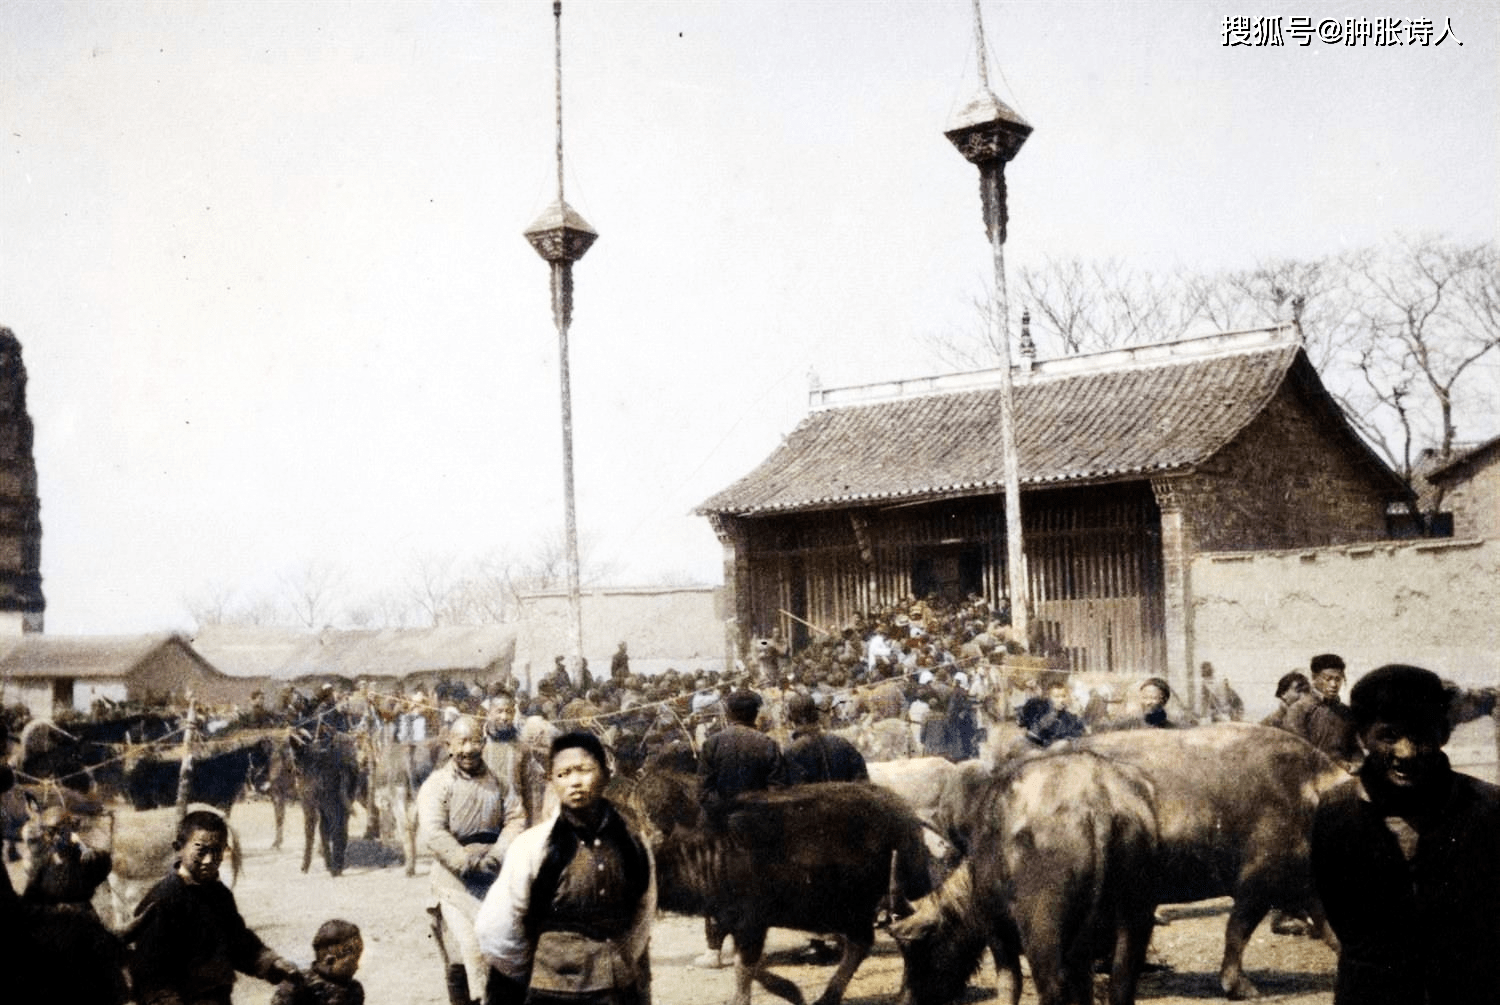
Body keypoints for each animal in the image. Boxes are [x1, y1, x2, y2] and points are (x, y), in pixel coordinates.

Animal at [627, 780, 930, 1005]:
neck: (709, 854)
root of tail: (908, 819)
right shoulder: (733, 921)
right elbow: (749, 966)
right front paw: (788, 990)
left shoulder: (750, 922)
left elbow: (744, 968)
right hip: (851, 907)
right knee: (869, 940)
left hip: (872, 899)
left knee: (896, 933)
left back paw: (904, 991)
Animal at [888, 756, 1158, 1005]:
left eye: (919, 948)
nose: (905, 1000)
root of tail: (1098, 806)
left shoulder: (996, 931)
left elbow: (1009, 985)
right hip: (1134, 921)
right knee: (1121, 986)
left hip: (1042, 933)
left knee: (1052, 989)